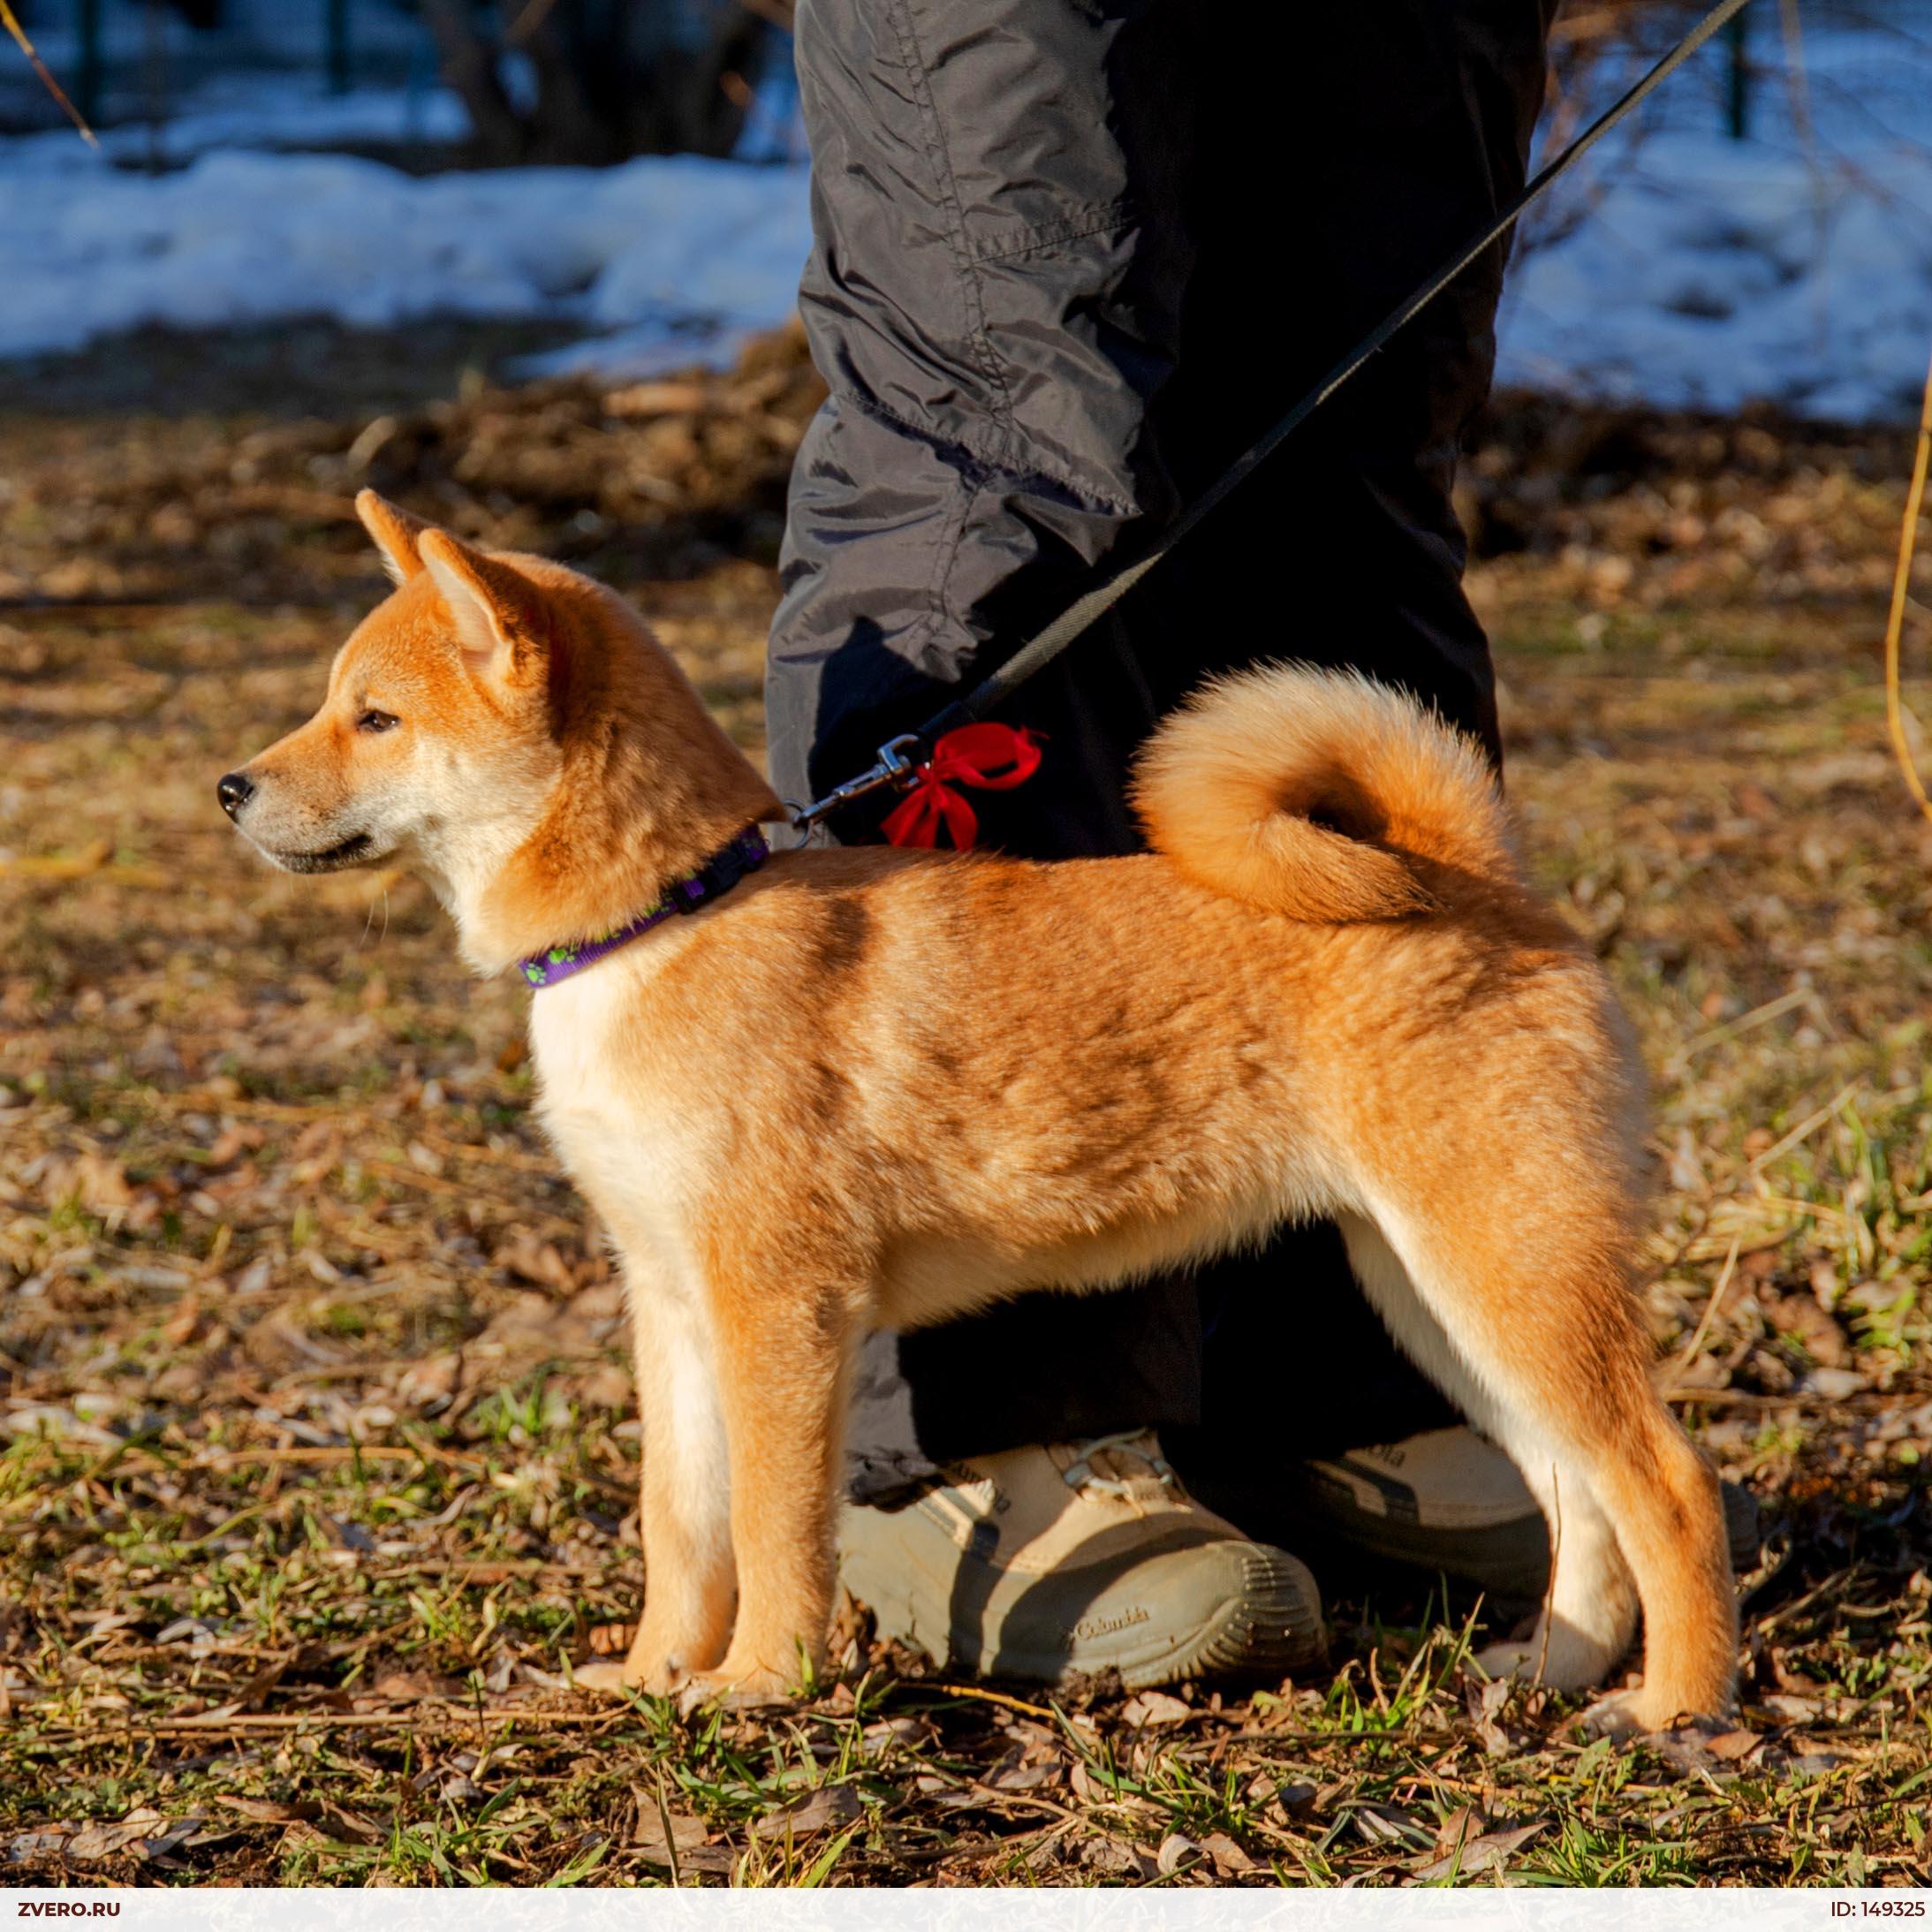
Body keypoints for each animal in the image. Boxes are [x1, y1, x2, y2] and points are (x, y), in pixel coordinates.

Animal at [219, 490, 1746, 1731]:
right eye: (336, 700)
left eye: (375, 716)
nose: (230, 786)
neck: (665, 917)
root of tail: (1469, 868)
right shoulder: (668, 1298)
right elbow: (681, 1524)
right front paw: (654, 1671)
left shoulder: (778, 1309)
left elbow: (773, 1529)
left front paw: (759, 1682)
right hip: (1439, 1293)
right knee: (1573, 1488)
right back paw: (1549, 1668)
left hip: (1504, 1266)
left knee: (1664, 1479)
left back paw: (1671, 1703)